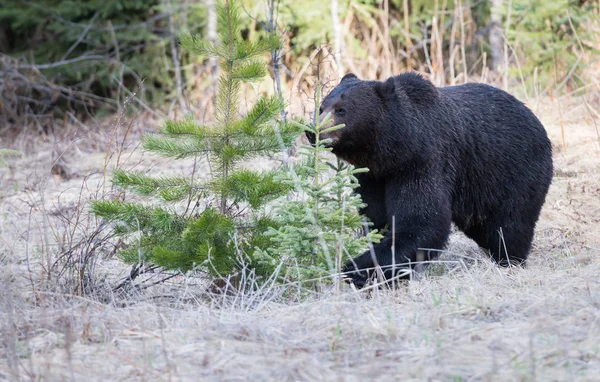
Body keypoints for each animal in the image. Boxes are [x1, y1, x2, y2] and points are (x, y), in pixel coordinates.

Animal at [310, 71, 552, 288]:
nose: (313, 132)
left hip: (513, 172)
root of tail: (535, 119)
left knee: (510, 226)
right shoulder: (372, 176)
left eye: (341, 110)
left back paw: (509, 259)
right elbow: (377, 219)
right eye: (321, 107)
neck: (391, 150)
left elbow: (422, 220)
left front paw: (357, 269)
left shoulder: (422, 161)